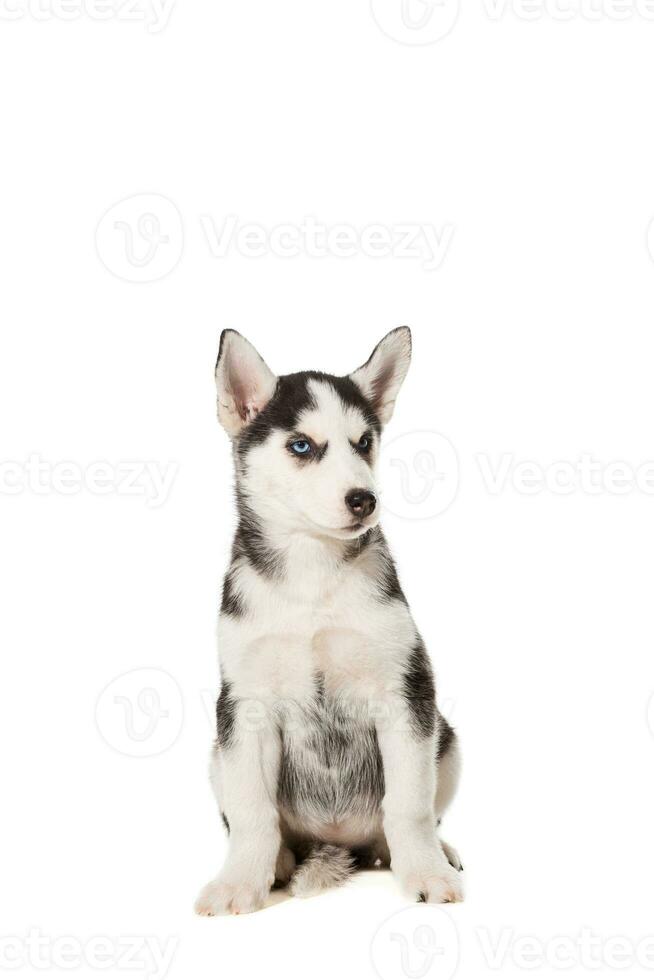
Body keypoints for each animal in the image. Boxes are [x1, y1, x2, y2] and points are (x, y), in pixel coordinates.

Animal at [197, 330, 464, 920]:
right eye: (301, 446)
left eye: (364, 442)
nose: (364, 499)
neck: (311, 576)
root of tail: (338, 843)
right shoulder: (244, 705)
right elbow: (251, 811)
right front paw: (240, 882)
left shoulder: (406, 692)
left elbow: (409, 804)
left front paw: (426, 871)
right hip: (216, 754)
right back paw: (277, 861)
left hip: (448, 740)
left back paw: (432, 851)